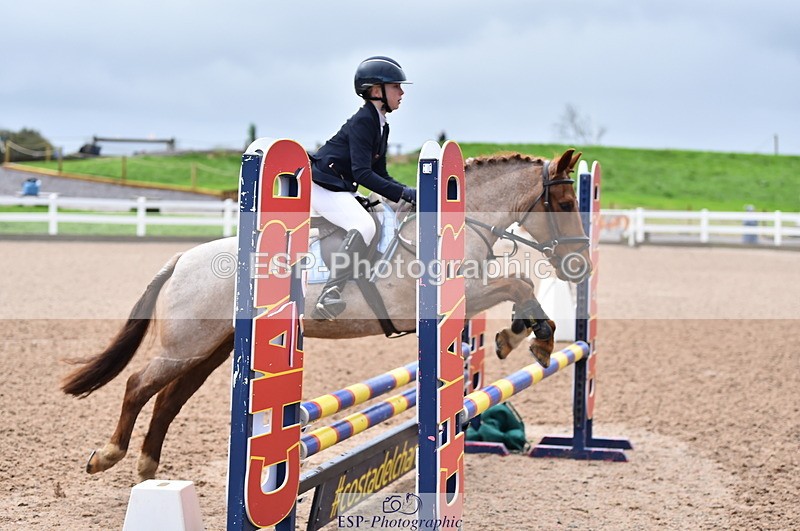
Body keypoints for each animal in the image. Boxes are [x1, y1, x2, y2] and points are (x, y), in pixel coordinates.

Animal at [61, 148, 591, 481]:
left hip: (213, 350)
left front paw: (522, 337)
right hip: (186, 345)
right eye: (565, 202)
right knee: (139, 385)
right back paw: (107, 456)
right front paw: (535, 340)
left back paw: (148, 468)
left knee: (168, 399)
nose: (580, 262)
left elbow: (519, 287)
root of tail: (181, 258)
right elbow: (518, 284)